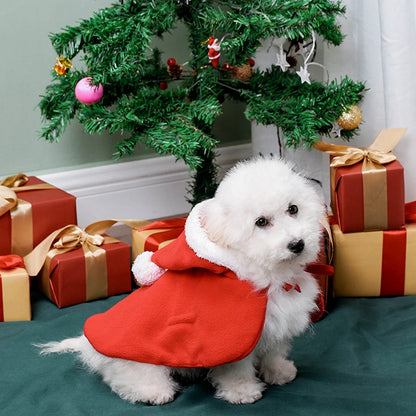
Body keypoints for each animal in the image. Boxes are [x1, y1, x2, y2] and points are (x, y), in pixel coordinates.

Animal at [38, 156, 324, 404]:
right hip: (137, 353)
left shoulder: (278, 323)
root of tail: (90, 344)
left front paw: (278, 371)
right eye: (261, 222)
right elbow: (237, 368)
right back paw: (151, 390)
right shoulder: (230, 337)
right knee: (123, 375)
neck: (266, 273)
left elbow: (274, 350)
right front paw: (242, 391)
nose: (297, 244)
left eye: (293, 209)